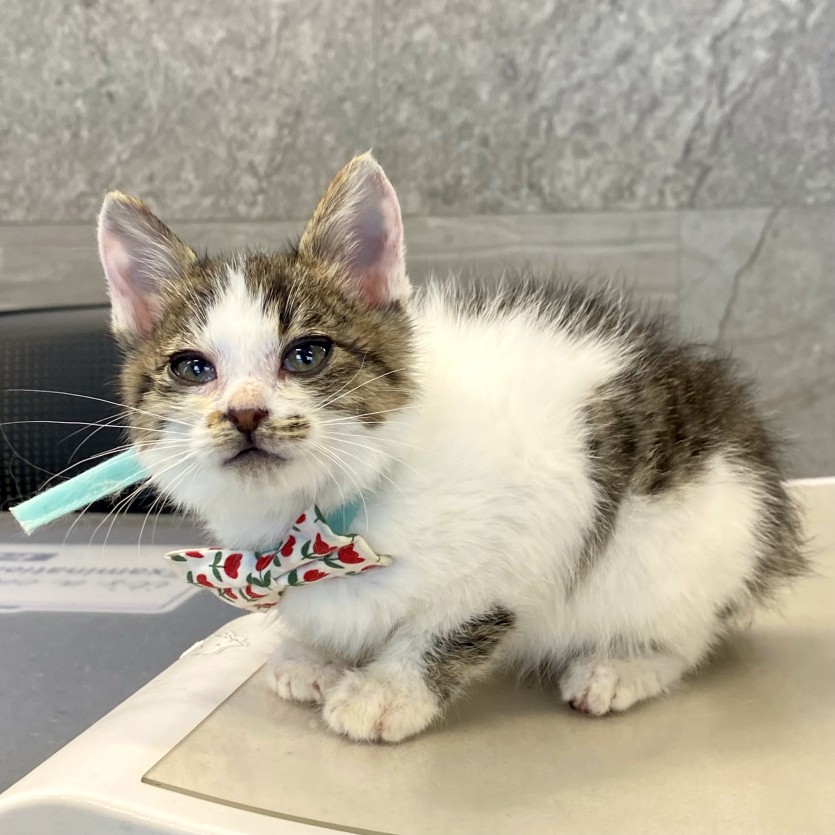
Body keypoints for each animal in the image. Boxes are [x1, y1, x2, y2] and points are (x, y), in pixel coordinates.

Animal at [98, 153, 806, 742]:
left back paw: (620, 667)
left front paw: (386, 692)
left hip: (687, 545)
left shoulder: (538, 522)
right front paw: (317, 654)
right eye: (192, 368)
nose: (245, 413)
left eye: (307, 354)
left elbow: (452, 622)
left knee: (686, 634)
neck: (327, 515)